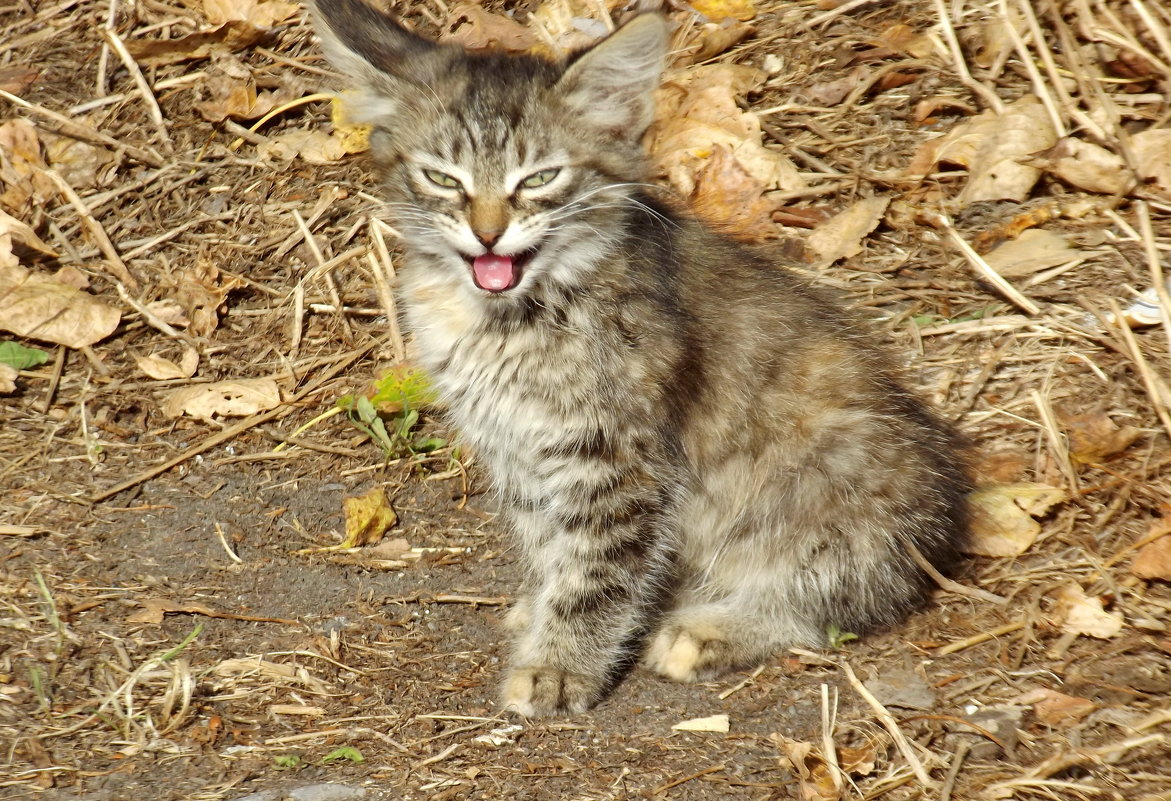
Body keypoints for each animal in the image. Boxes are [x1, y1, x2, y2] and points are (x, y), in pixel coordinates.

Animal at [311, 0, 969, 711]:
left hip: (842, 471)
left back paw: (711, 632)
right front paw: (542, 611)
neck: (503, 317)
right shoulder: (513, 442)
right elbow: (548, 542)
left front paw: (559, 666)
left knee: (838, 597)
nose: (488, 235)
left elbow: (595, 567)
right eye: (441, 178)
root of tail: (946, 510)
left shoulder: (619, 454)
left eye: (540, 179)